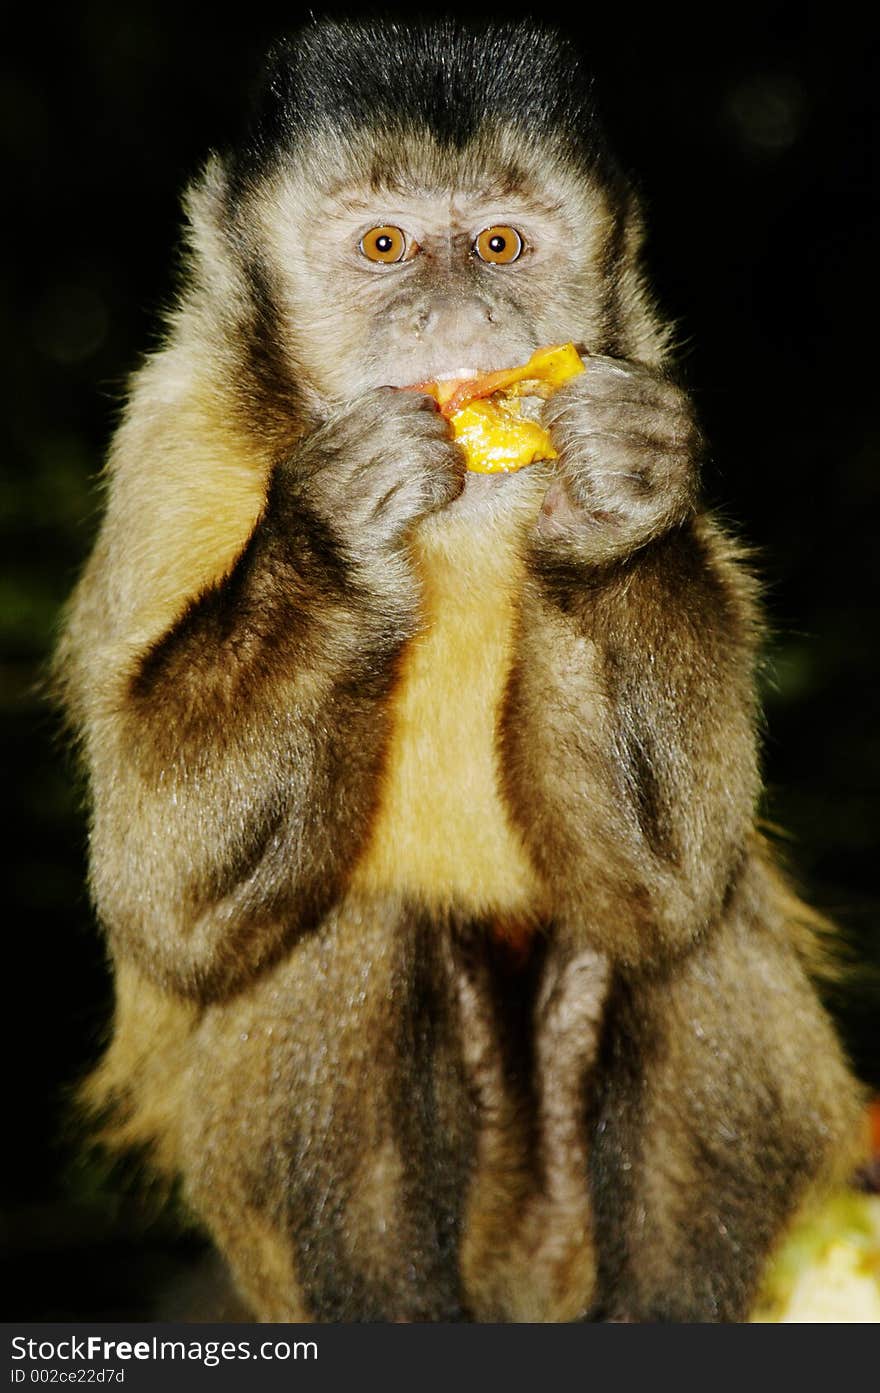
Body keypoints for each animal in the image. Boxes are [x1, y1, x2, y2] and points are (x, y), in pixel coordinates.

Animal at [58, 21, 863, 1320]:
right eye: (386, 246)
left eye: (498, 244)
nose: (460, 315)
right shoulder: (171, 437)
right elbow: (161, 910)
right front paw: (333, 541)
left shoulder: (643, 374)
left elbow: (666, 892)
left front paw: (611, 513)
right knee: (342, 927)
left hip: (558, 1232)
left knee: (680, 930)